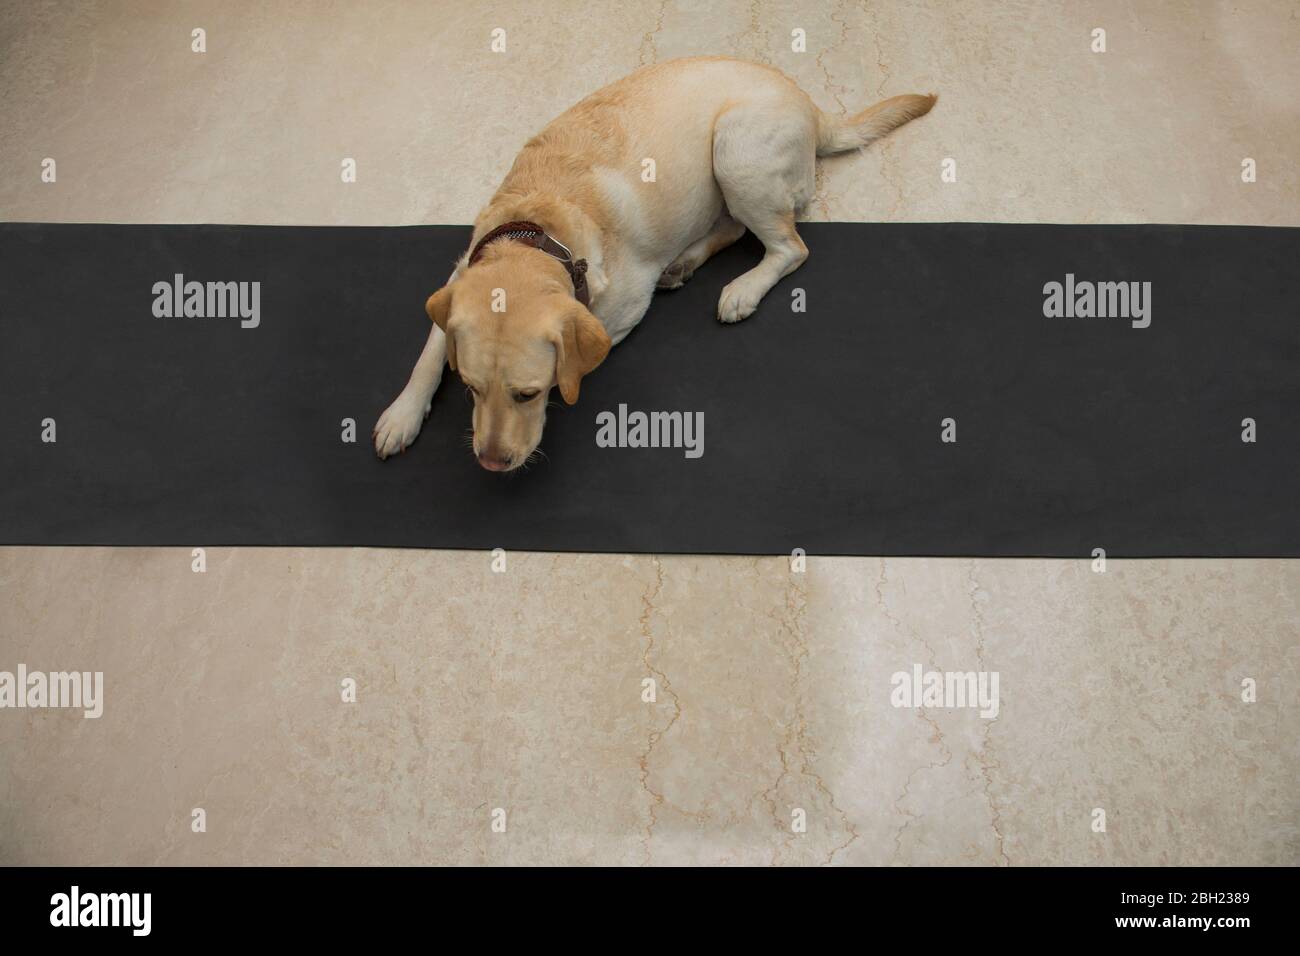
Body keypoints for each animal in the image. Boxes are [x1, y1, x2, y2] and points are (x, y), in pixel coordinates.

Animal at [371, 55, 930, 470]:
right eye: (469, 388)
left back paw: (741, 288)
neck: (538, 232)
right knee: (733, 227)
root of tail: (812, 106)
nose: (490, 461)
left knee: (788, 247)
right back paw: (684, 262)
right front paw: (402, 414)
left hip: (736, 151)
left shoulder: (619, 310)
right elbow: (430, 351)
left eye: (529, 394)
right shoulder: (458, 275)